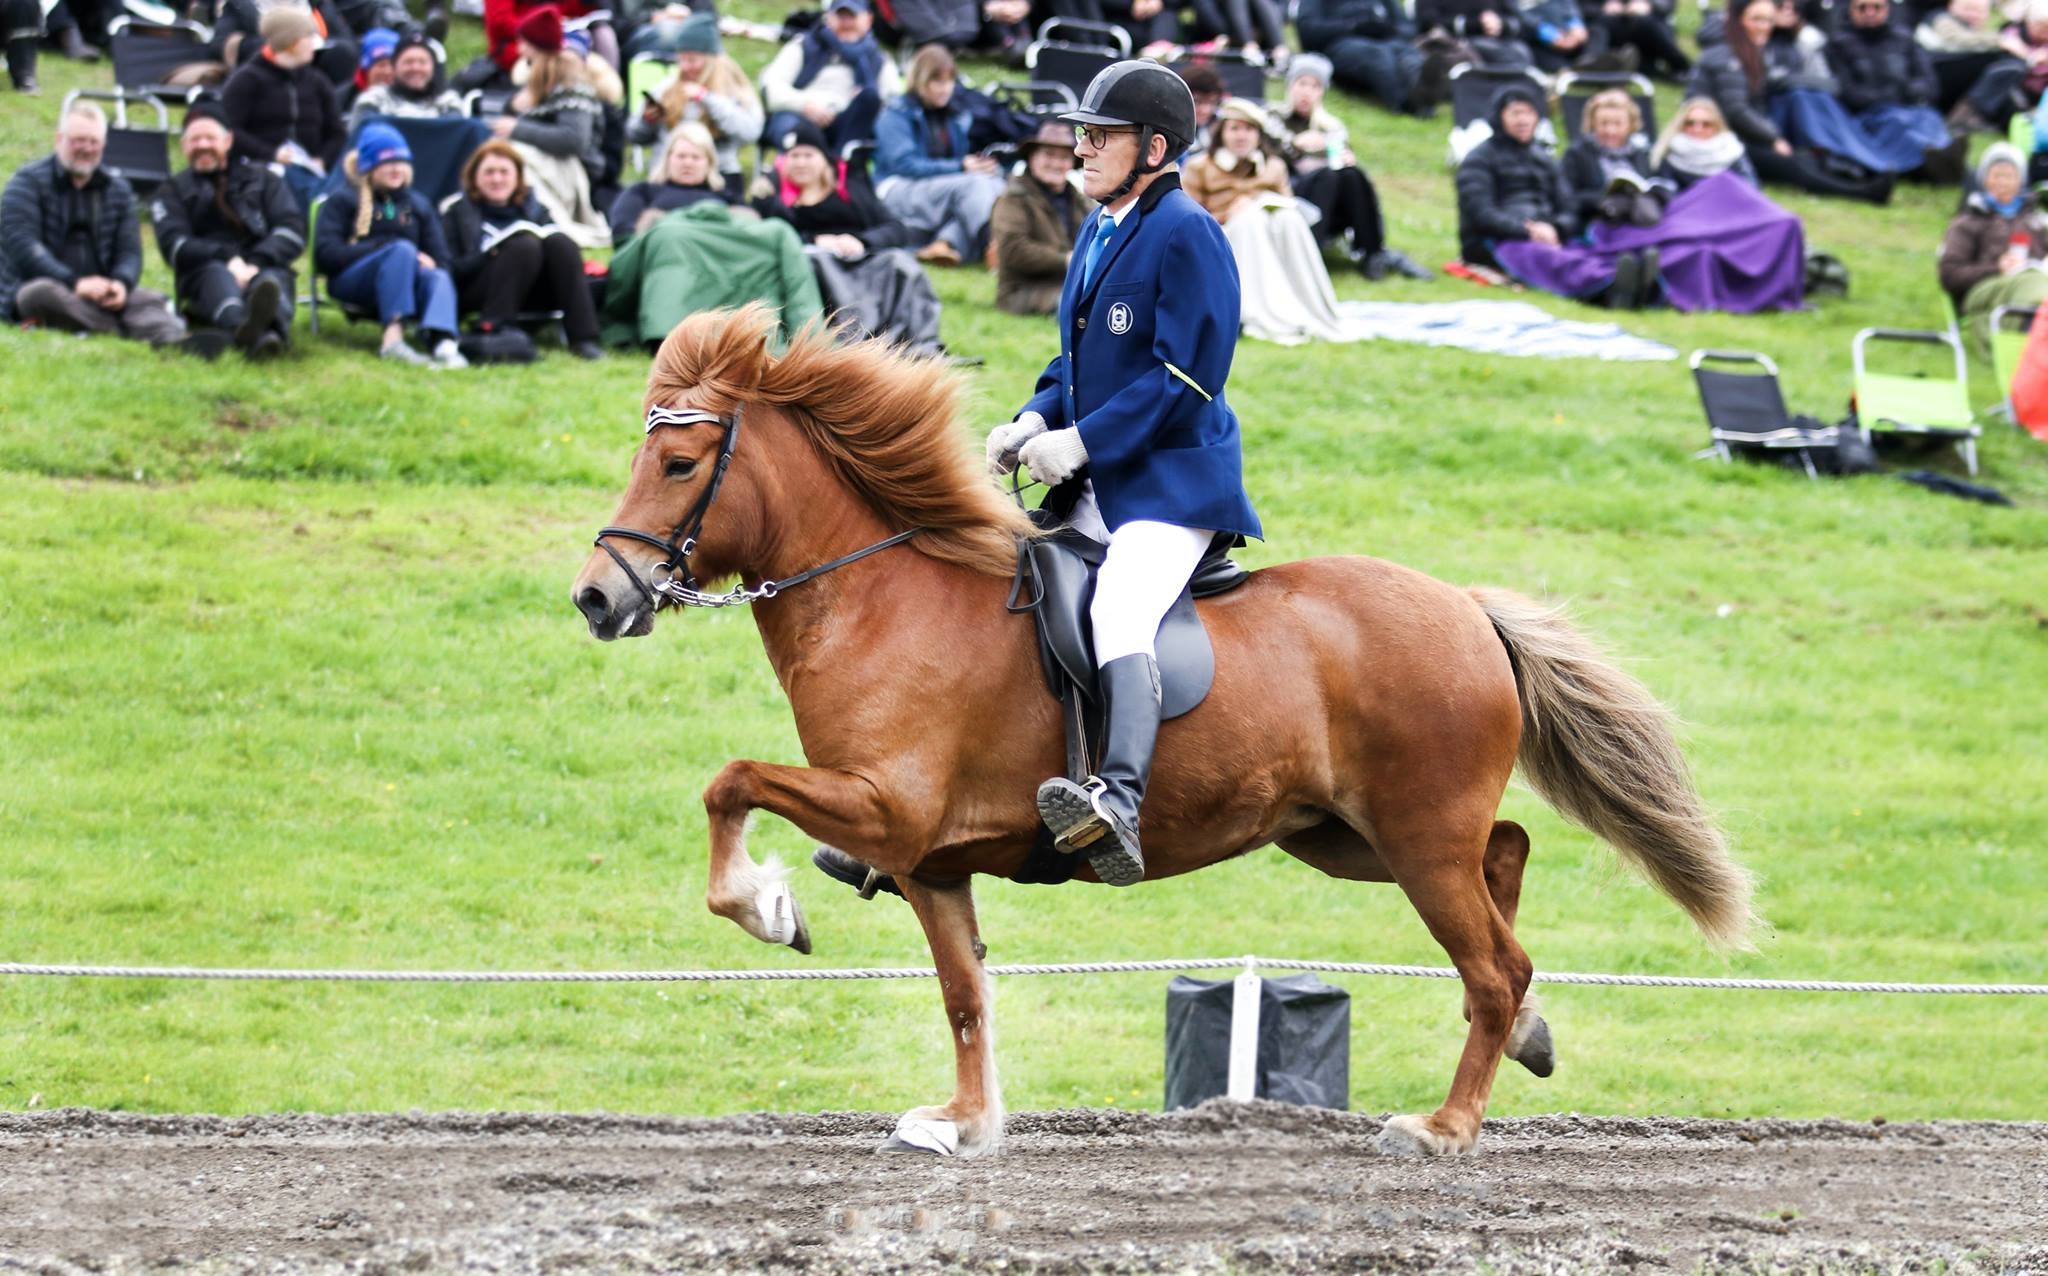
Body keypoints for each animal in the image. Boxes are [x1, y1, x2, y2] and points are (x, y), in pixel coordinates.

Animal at [570, 305, 1756, 1159]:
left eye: (679, 467)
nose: (596, 598)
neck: (882, 598)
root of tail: (1465, 608)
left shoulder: (887, 806)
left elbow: (729, 781)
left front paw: (765, 908)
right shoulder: (926, 859)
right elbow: (963, 996)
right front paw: (963, 1124)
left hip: (1415, 837)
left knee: (1493, 961)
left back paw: (1445, 1126)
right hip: (1343, 834)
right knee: (1505, 858)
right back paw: (1531, 1035)